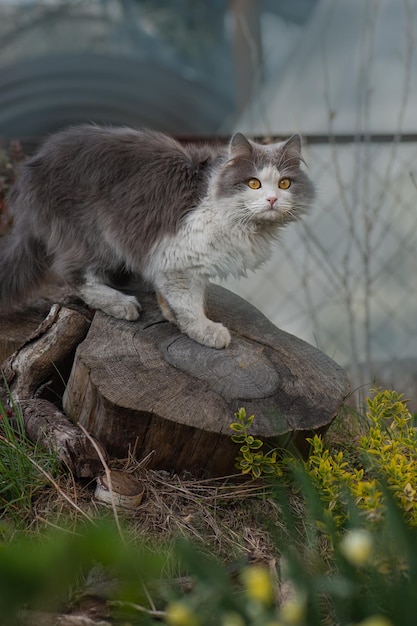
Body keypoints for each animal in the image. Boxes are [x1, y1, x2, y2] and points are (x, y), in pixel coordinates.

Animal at [0, 122, 312, 346]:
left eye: (284, 183)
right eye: (254, 183)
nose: (272, 199)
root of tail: (32, 168)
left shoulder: (168, 258)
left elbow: (172, 294)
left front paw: (170, 314)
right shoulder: (180, 257)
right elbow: (187, 302)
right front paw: (204, 330)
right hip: (93, 235)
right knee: (74, 276)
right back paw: (121, 303)